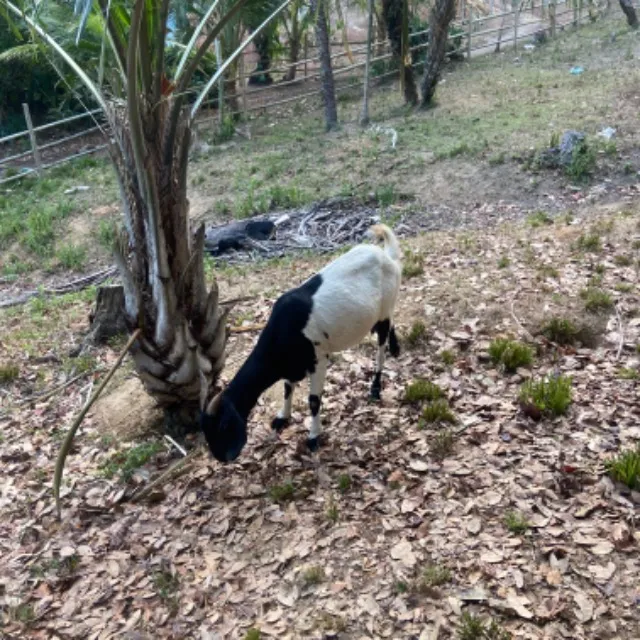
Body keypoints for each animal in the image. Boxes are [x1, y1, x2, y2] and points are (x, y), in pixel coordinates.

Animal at [200, 223, 402, 463]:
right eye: (206, 431)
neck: (282, 332)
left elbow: (313, 401)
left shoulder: (318, 359)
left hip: (385, 308)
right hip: (385, 311)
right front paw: (282, 417)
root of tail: (388, 257)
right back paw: (396, 348)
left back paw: (376, 386)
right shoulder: (291, 365)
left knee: (380, 347)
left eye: (223, 425)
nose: (223, 457)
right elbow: (288, 388)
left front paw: (314, 436)